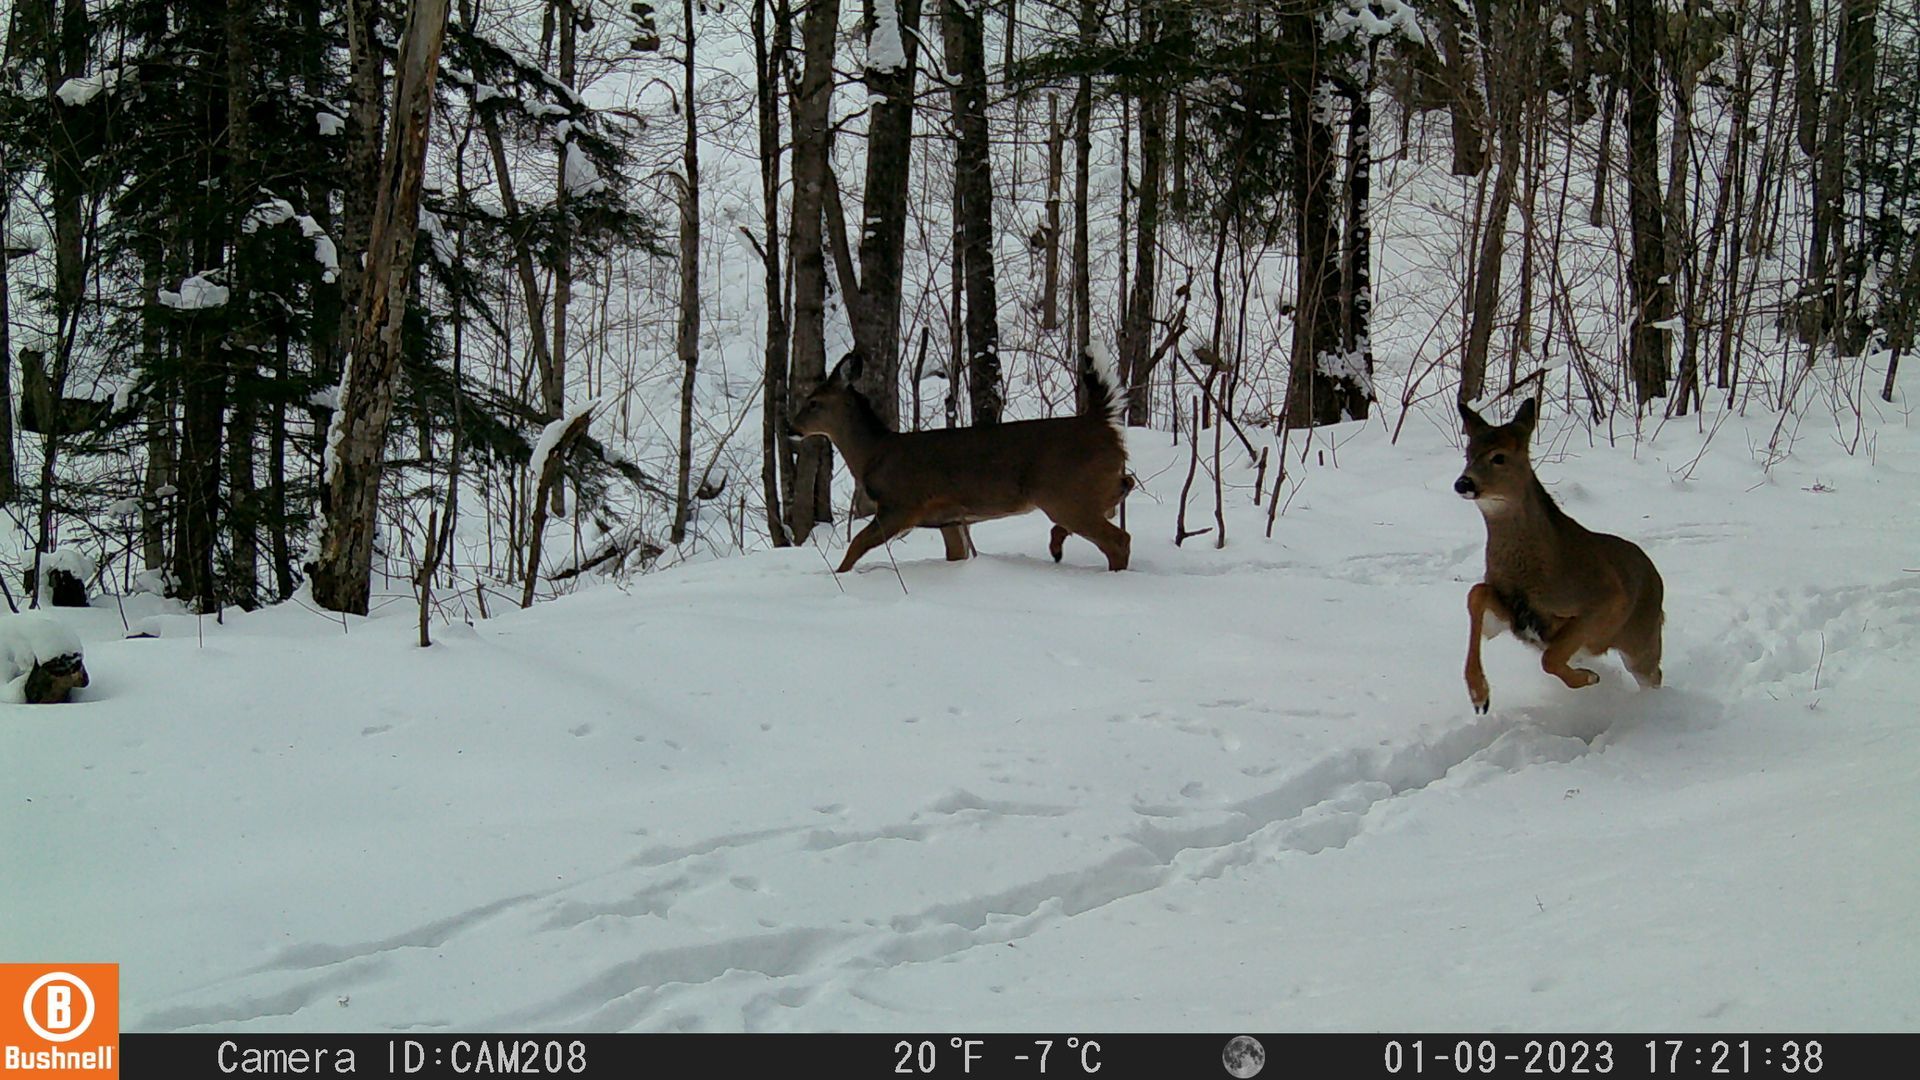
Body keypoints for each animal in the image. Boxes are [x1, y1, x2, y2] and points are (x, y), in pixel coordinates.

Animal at [790, 348, 1131, 574]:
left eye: (814, 402)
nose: (791, 427)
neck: (873, 454)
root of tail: (1101, 422)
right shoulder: (949, 518)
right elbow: (956, 554)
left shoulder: (901, 504)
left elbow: (857, 544)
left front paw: (837, 575)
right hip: (1087, 487)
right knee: (1124, 489)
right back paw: (1059, 544)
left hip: (1065, 492)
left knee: (1119, 539)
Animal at [1455, 397, 1664, 713]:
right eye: (1468, 454)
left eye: (1499, 457)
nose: (1463, 483)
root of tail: (1657, 577)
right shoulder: (1515, 615)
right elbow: (1476, 593)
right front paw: (1479, 695)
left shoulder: (1606, 599)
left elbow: (1550, 658)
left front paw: (1588, 677)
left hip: (1642, 639)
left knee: (1655, 674)